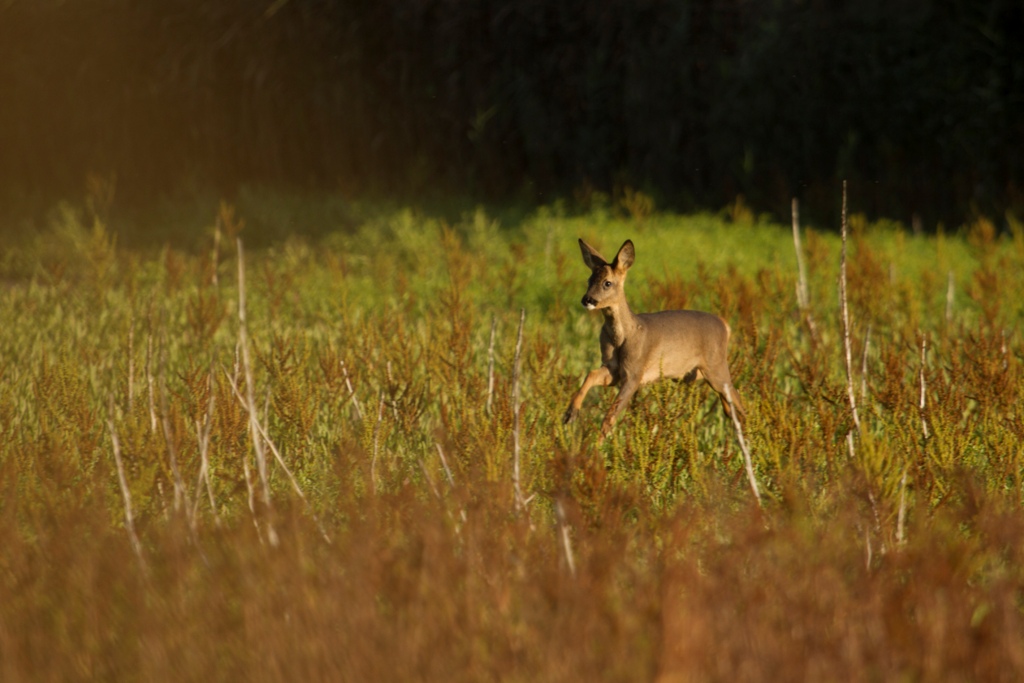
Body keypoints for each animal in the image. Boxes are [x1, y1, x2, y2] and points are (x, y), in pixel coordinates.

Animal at [561, 240, 745, 440]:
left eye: (607, 283)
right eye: (589, 280)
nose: (587, 300)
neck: (623, 335)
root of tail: (724, 324)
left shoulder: (635, 372)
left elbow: (610, 417)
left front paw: (596, 445)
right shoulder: (613, 369)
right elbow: (591, 374)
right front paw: (570, 414)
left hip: (716, 366)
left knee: (738, 400)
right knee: (729, 404)